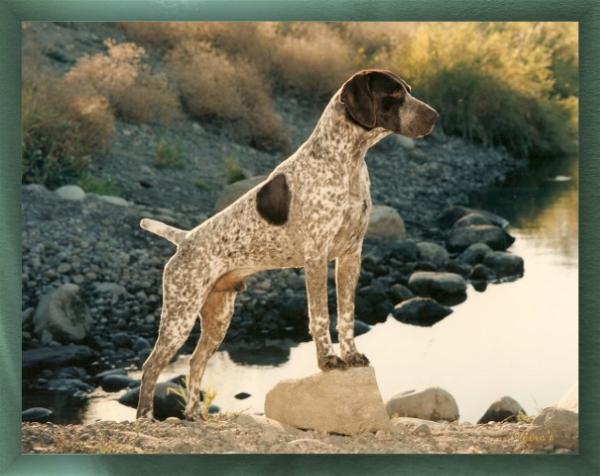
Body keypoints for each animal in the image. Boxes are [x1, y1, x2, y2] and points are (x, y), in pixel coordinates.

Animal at [137, 69, 436, 418]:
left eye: (408, 91)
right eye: (394, 95)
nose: (435, 116)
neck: (346, 160)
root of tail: (183, 239)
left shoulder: (351, 256)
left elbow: (347, 316)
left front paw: (350, 356)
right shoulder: (317, 258)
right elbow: (320, 316)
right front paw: (328, 361)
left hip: (218, 317)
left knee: (195, 364)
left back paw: (195, 416)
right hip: (179, 316)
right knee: (151, 366)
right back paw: (146, 417)